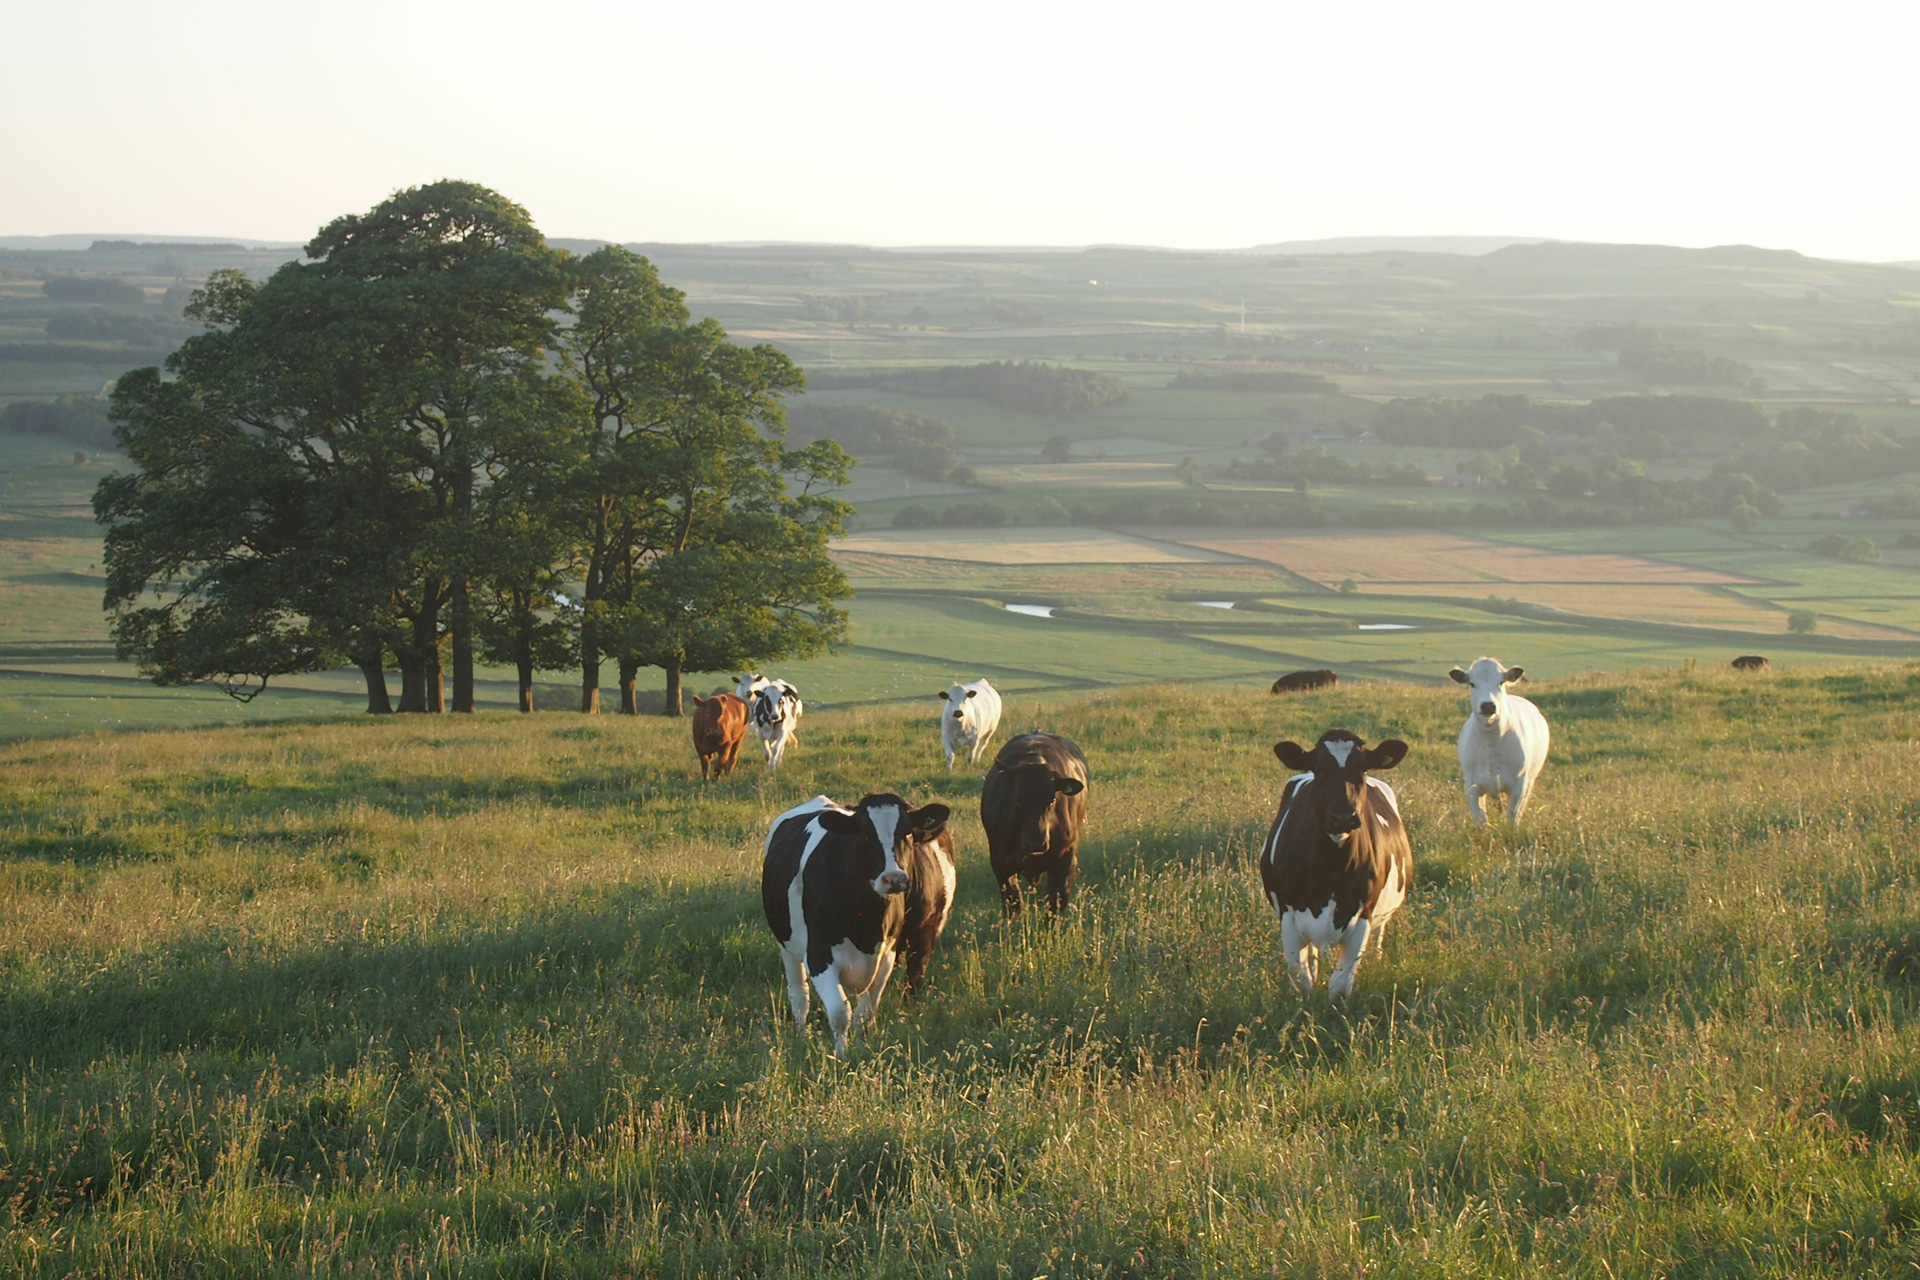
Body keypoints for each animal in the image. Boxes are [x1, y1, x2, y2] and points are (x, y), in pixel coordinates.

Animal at [761, 793, 956, 1054]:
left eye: (907, 833)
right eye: (864, 835)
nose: (894, 878)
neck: (867, 925)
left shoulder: (889, 955)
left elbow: (865, 1013)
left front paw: (860, 1049)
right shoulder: (818, 955)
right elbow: (840, 1012)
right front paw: (840, 1054)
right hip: (787, 945)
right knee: (799, 996)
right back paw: (801, 1037)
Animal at [980, 732, 1089, 915]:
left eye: (1052, 799)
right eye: (1017, 799)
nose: (1037, 843)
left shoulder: (1067, 858)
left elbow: (1055, 901)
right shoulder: (1000, 861)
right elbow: (1013, 901)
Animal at [1259, 729, 1412, 1001]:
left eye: (1363, 769)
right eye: (1320, 769)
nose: (1343, 817)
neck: (1329, 870)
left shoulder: (1363, 915)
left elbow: (1340, 987)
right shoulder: (1289, 916)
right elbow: (1302, 982)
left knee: (1378, 939)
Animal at [1450, 656, 1550, 825]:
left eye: (1501, 682)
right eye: (1472, 684)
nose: (1488, 705)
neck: (1490, 742)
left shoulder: (1519, 785)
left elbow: (1512, 818)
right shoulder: (1471, 785)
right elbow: (1481, 819)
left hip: (1530, 780)